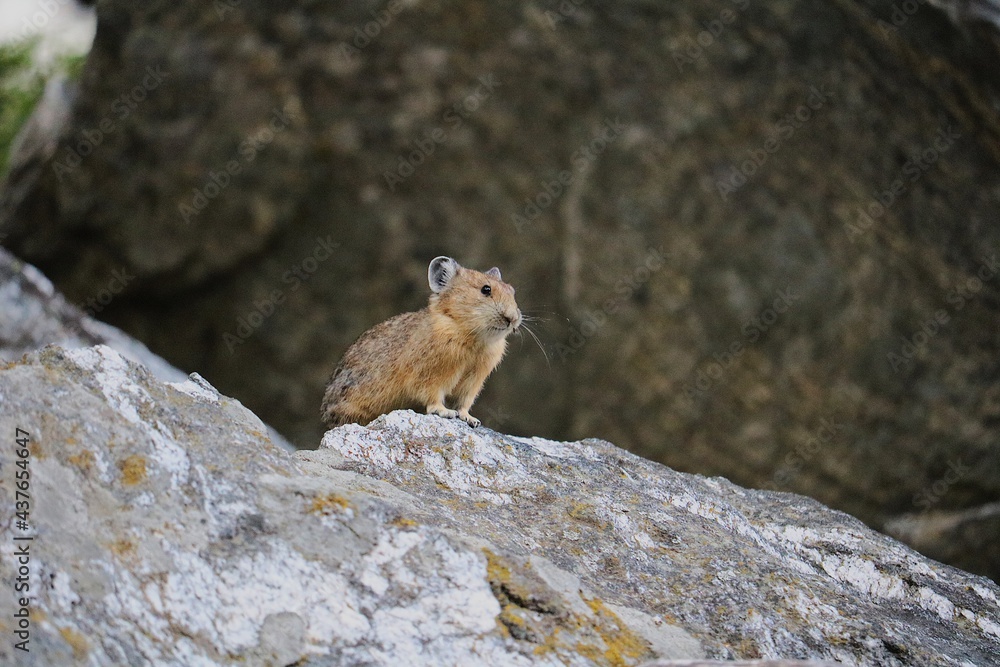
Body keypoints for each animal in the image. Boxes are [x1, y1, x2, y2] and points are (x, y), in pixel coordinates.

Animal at [321, 256, 522, 429]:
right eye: (486, 289)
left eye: (512, 292)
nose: (512, 318)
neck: (471, 337)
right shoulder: (428, 376)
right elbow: (432, 397)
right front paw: (445, 412)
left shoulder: (473, 382)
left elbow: (464, 403)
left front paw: (471, 419)